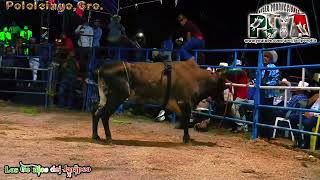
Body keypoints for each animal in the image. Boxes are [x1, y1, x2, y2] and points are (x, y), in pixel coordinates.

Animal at [91, 59, 226, 144]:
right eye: (222, 86)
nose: (223, 103)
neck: (196, 77)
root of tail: (101, 69)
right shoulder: (185, 102)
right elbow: (186, 120)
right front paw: (187, 139)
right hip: (116, 97)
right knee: (104, 115)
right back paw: (109, 138)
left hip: (104, 97)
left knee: (96, 111)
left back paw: (96, 136)